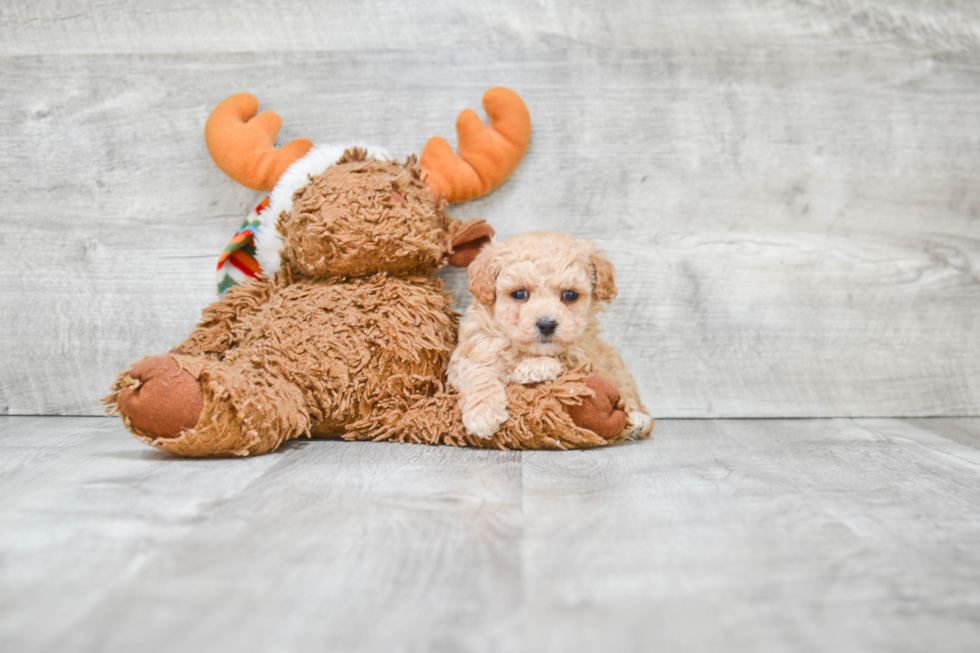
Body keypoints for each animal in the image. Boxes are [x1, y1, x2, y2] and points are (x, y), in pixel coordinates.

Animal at [450, 232, 652, 440]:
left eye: (570, 295)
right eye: (519, 294)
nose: (546, 324)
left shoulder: (584, 353)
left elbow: (565, 358)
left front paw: (535, 366)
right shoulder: (473, 350)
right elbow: (477, 373)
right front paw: (482, 415)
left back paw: (638, 421)